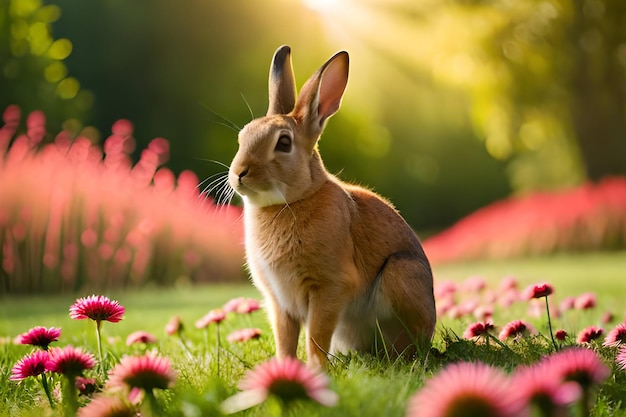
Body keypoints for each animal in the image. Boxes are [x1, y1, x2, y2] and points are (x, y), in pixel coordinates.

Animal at [227, 45, 436, 368]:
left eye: (283, 143)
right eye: (242, 137)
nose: (239, 173)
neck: (291, 202)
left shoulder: (329, 287)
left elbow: (316, 333)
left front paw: (315, 368)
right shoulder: (280, 302)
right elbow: (285, 337)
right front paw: (286, 367)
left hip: (400, 273)